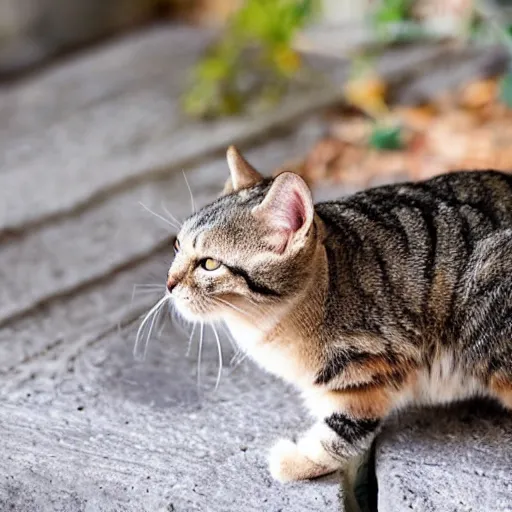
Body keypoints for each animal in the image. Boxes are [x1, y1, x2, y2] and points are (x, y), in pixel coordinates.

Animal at [164, 146, 512, 482]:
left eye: (210, 264)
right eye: (177, 246)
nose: (168, 283)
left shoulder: (367, 368)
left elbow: (343, 432)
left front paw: (297, 461)